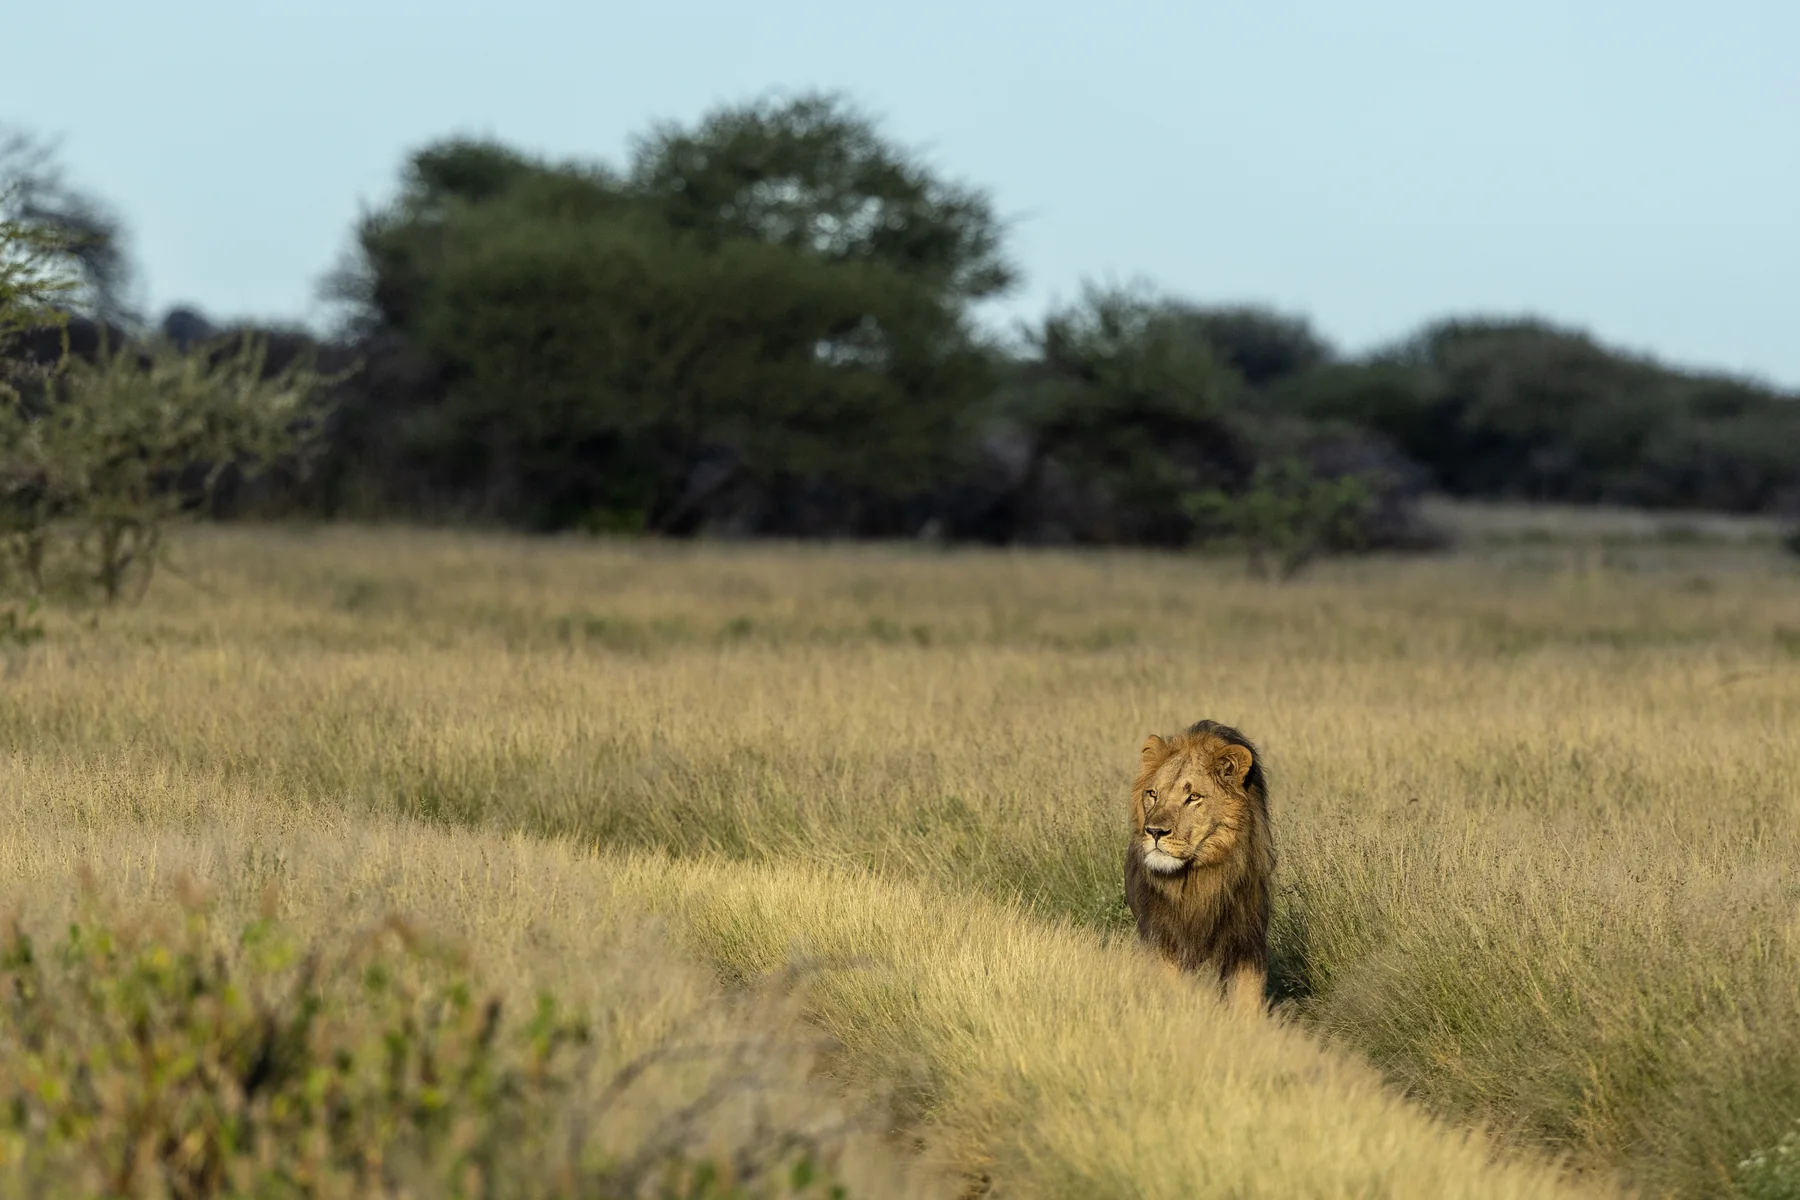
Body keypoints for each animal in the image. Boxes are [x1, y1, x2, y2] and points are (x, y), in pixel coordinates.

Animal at [1124, 719, 1275, 1008]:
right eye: (1153, 794)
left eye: (1193, 797)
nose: (1154, 831)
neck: (1198, 878)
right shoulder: (1164, 938)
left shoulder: (1245, 941)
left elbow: (1247, 1001)